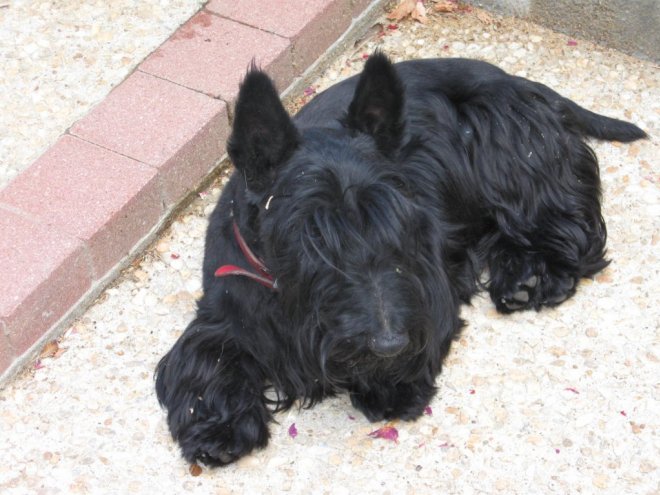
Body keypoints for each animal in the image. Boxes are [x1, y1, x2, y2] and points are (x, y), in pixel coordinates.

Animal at [156, 52, 644, 466]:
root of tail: (513, 80)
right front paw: (217, 427)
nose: (389, 344)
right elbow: (208, 357)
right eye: (309, 237)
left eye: (398, 220)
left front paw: (389, 384)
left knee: (563, 222)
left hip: (512, 151)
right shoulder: (223, 313)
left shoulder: (432, 290)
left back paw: (534, 276)